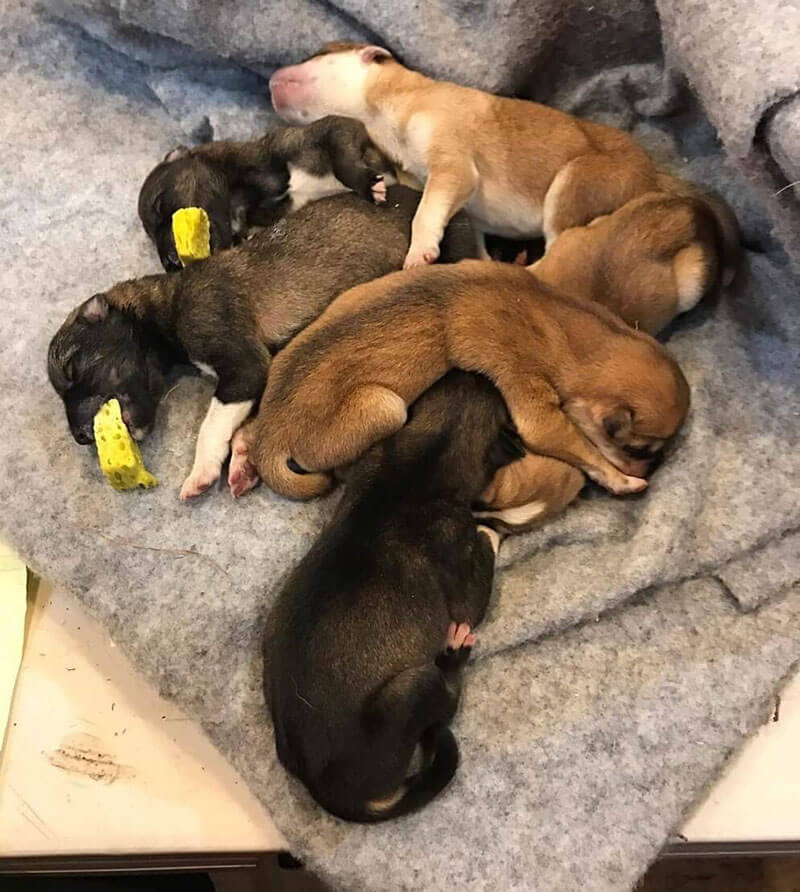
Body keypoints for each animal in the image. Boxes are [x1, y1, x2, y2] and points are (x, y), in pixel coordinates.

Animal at [48, 186, 476, 502]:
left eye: (71, 368)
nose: (80, 438)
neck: (166, 304)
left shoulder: (245, 367)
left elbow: (212, 425)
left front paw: (203, 471)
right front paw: (241, 461)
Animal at [242, 262, 688, 502]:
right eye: (635, 448)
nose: (654, 467)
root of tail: (272, 434)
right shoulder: (534, 404)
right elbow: (582, 449)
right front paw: (621, 479)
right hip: (386, 407)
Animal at [264, 370, 524, 824]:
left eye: (448, 378)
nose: (472, 370)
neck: (429, 455)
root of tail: (327, 789)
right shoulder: (459, 561)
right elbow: (476, 583)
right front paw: (490, 532)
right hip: (414, 686)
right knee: (446, 701)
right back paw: (454, 653)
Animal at [270, 40, 668, 268]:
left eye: (317, 54)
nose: (270, 79)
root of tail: (657, 186)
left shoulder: (452, 166)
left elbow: (424, 214)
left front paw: (418, 253)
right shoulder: (459, 203)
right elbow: (466, 230)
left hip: (576, 184)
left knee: (560, 250)